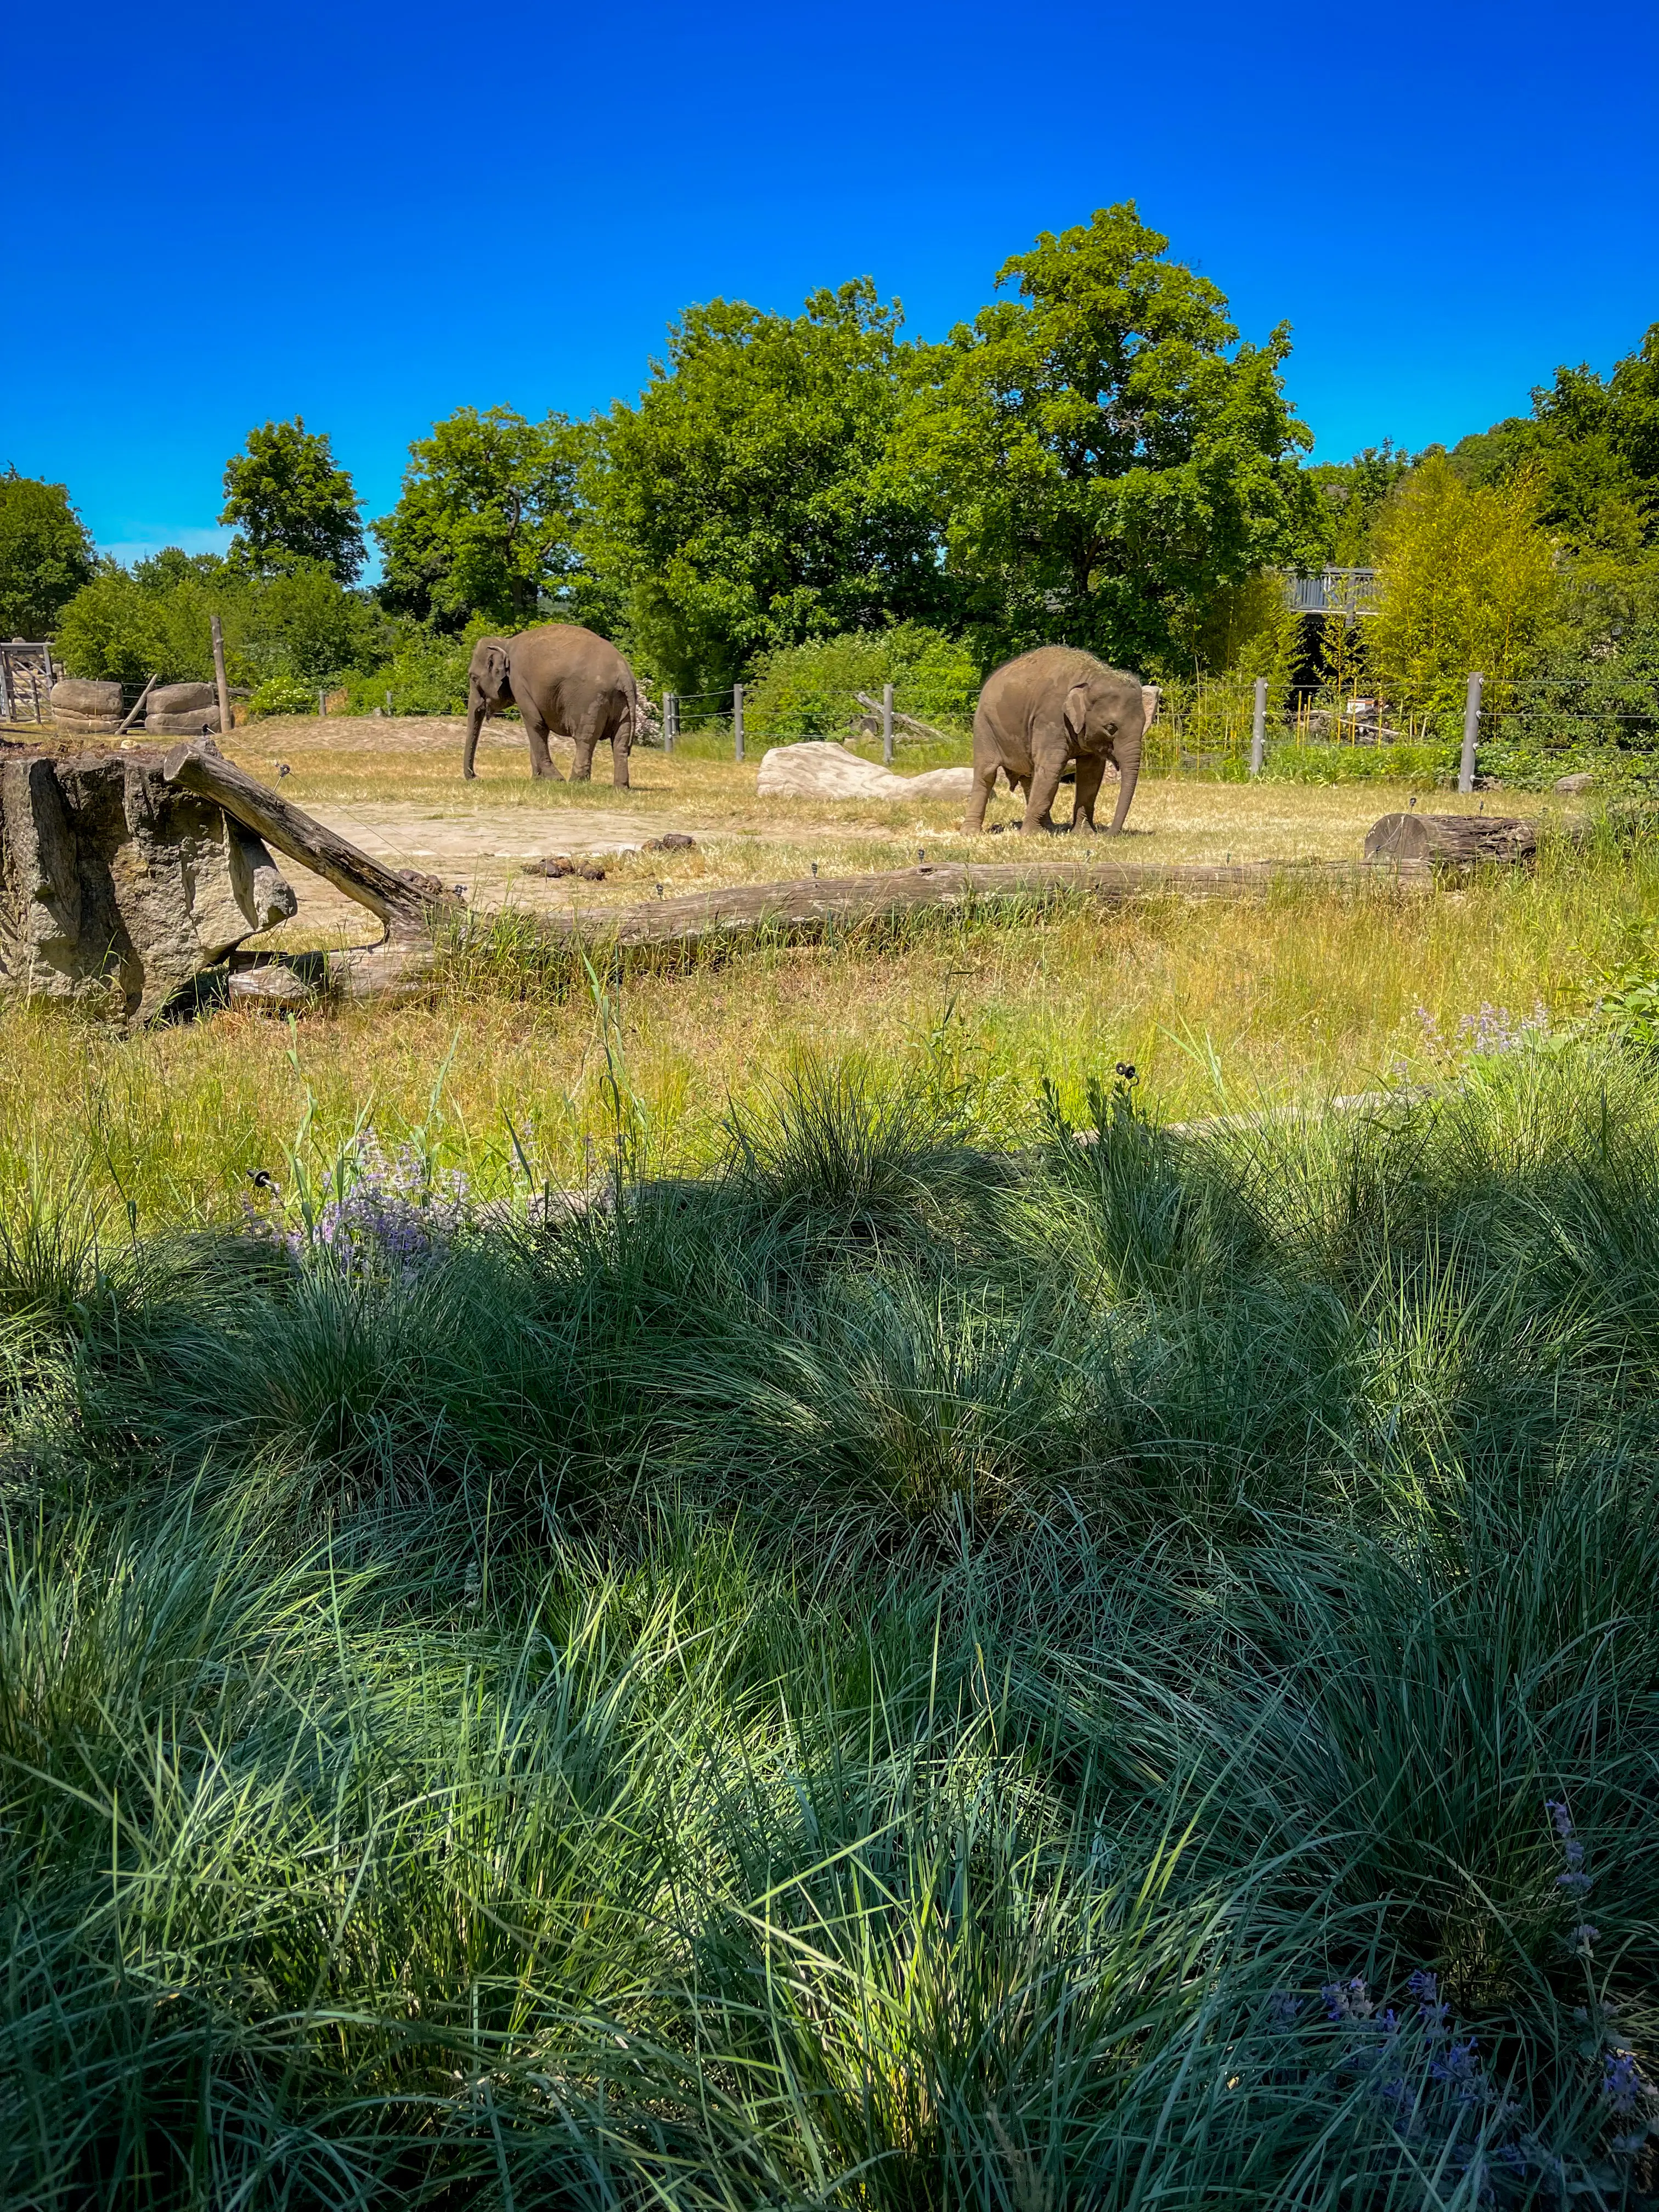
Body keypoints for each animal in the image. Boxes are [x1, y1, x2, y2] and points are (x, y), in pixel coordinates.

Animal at [463, 623, 639, 786]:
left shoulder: (519, 681)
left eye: (473, 678)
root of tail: (624, 675)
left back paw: (575, 783)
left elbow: (535, 722)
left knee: (585, 739)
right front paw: (538, 780)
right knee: (620, 742)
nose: (476, 777)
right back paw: (621, 787)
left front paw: (556, 779)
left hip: (591, 701)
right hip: (623, 703)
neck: (505, 642)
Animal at [963, 646, 1153, 836]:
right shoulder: (1050, 718)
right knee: (986, 774)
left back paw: (1048, 828)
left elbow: (1091, 773)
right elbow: (1052, 766)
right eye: (1111, 728)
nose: (1107, 835)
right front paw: (1030, 835)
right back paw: (971, 833)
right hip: (984, 726)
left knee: (1029, 776)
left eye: (1145, 724)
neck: (1091, 676)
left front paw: (1084, 833)